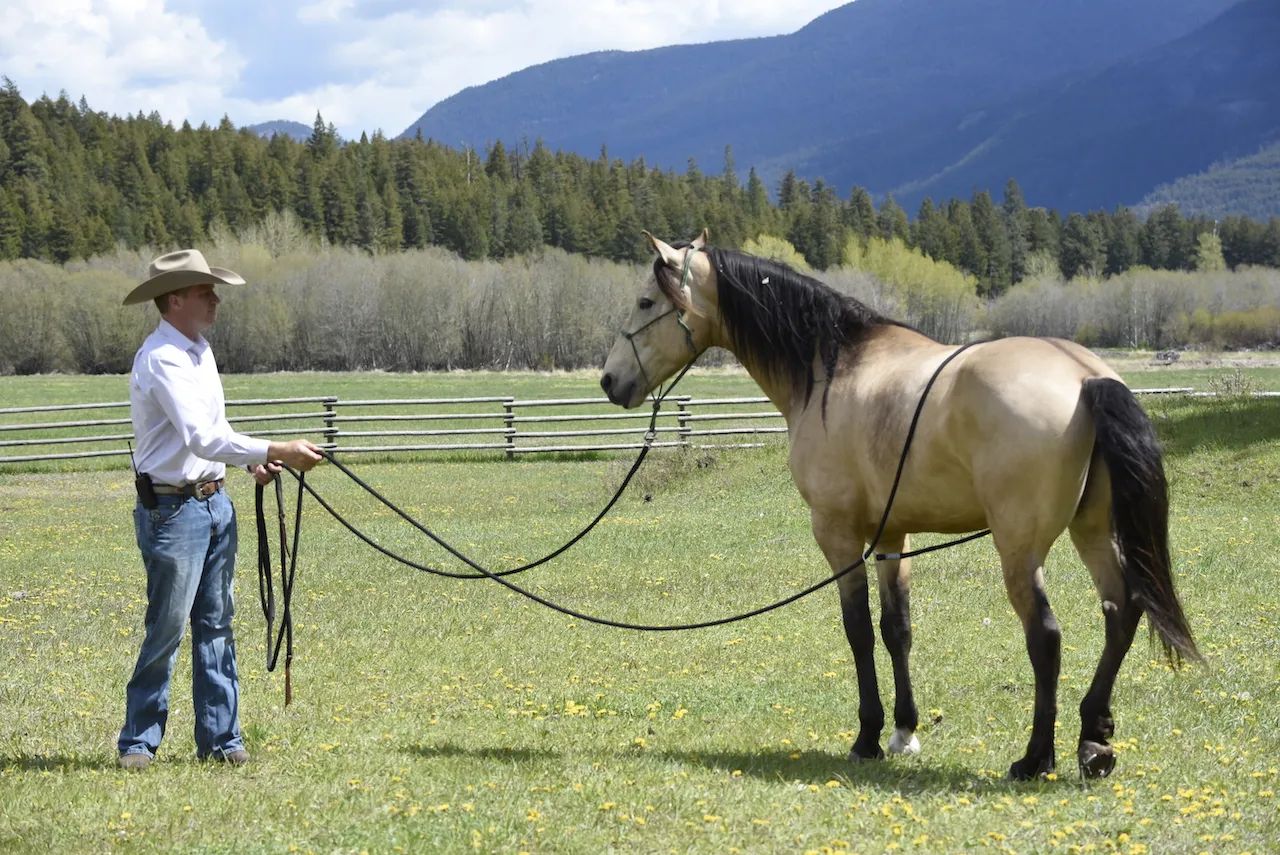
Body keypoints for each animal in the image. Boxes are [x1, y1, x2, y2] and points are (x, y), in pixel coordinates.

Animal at [599, 229, 1199, 781]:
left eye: (645, 303)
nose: (608, 381)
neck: (831, 369)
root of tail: (1084, 375)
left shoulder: (837, 534)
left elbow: (859, 630)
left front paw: (867, 736)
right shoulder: (891, 538)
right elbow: (897, 629)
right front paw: (905, 730)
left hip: (1019, 548)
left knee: (1046, 636)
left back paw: (1035, 758)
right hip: (1091, 530)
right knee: (1122, 611)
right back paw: (1094, 740)